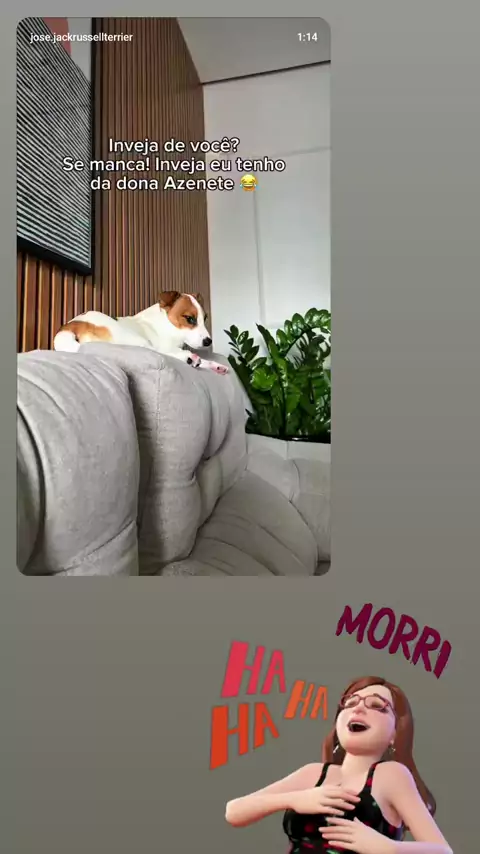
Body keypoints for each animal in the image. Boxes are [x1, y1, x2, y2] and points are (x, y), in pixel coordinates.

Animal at [53, 290, 228, 374]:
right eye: (189, 318)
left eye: (204, 318)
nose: (208, 341)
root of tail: (70, 326)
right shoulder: (164, 345)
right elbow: (167, 351)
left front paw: (215, 365)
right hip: (134, 339)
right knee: (158, 352)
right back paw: (188, 358)